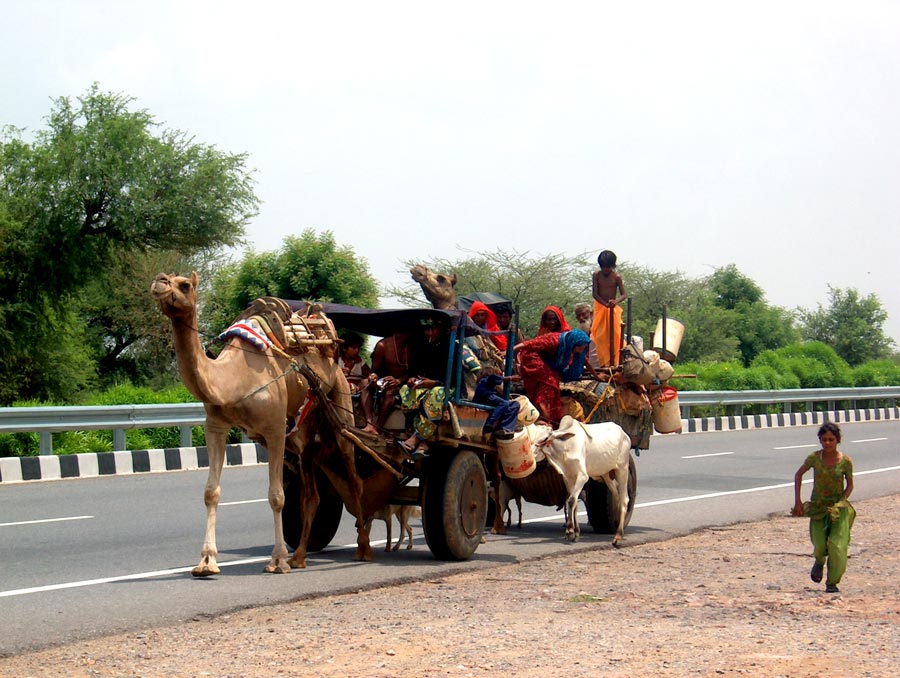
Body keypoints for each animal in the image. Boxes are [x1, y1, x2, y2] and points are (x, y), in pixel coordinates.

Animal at [150, 274, 372, 576]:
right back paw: (299, 556)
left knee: (354, 478)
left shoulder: (275, 428)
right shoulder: (216, 425)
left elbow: (277, 496)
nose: (159, 281)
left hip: (341, 403)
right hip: (306, 435)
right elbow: (211, 492)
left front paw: (277, 561)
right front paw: (206, 562)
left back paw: (363, 548)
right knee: (311, 494)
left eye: (184, 284)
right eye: (166, 277)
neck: (232, 379)